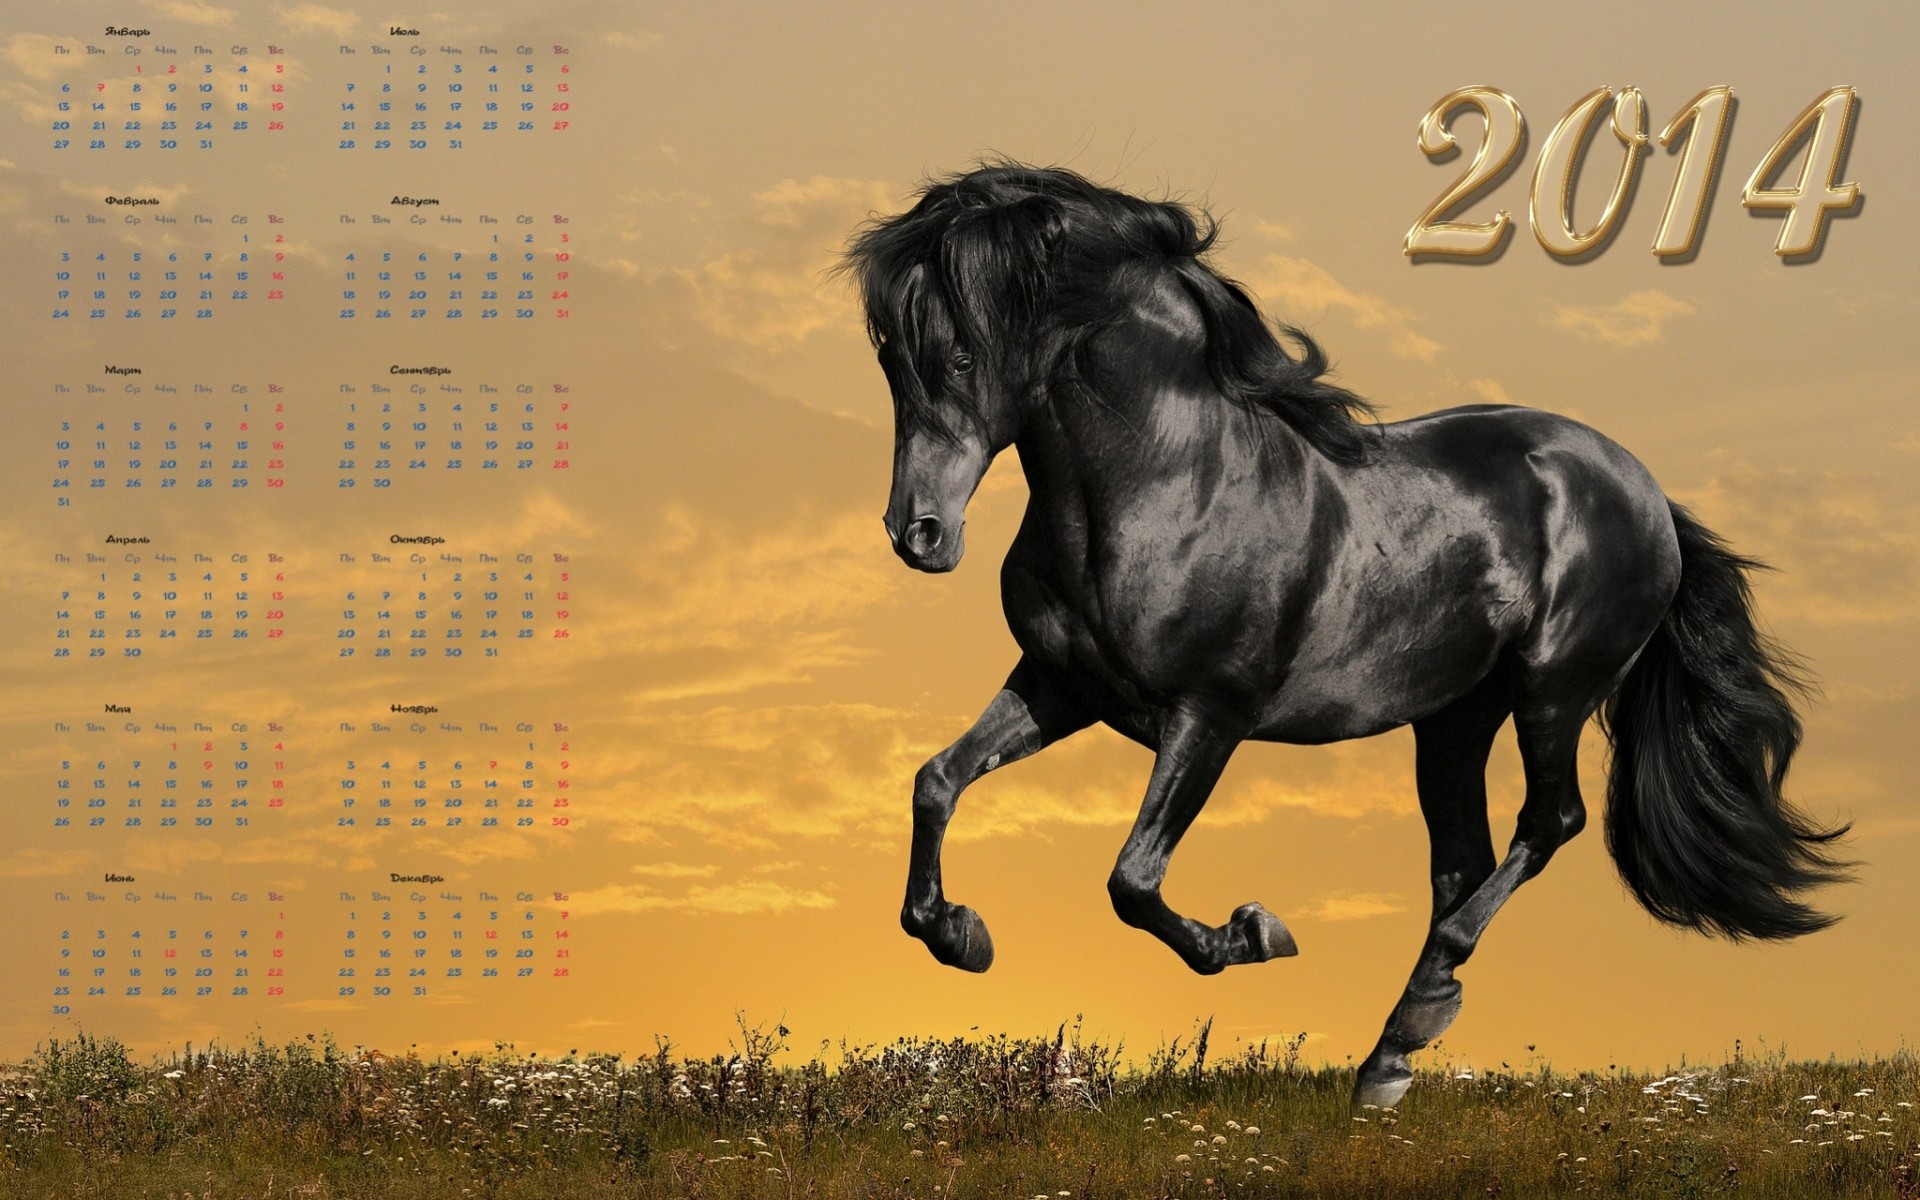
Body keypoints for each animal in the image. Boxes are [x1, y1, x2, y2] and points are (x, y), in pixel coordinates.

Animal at [841, 163, 1849, 1108]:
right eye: (890, 359)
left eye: (961, 357)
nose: (917, 534)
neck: (1167, 485)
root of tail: (1644, 492)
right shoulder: (1063, 686)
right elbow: (937, 781)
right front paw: (960, 935)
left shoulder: (1210, 716)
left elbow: (1133, 880)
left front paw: (1252, 933)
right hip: (1453, 720)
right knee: (1463, 862)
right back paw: (1390, 1057)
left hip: (1552, 693)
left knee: (1548, 823)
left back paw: (1415, 1016)